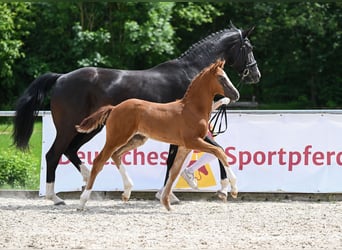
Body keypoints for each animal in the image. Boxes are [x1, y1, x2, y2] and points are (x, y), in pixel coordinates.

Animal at [76, 60, 239, 211]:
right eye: (221, 78)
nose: (236, 95)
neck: (192, 109)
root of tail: (114, 108)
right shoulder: (193, 141)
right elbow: (219, 152)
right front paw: (233, 188)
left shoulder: (184, 147)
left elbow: (174, 172)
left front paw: (166, 203)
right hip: (116, 138)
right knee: (99, 161)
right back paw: (83, 201)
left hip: (136, 139)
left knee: (116, 155)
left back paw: (127, 192)